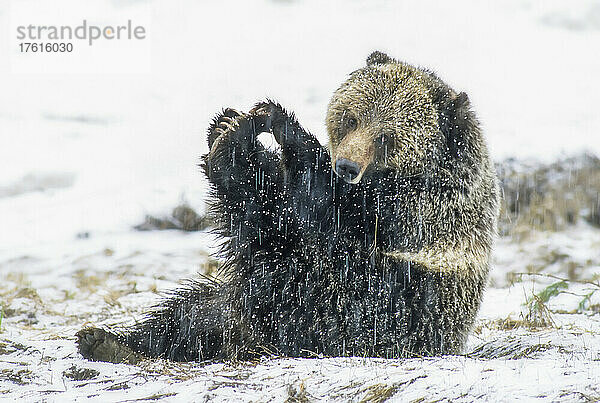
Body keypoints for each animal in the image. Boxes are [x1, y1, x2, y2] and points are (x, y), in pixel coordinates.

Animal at [77, 49, 500, 362]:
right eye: (351, 117)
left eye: (387, 137)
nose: (346, 166)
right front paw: (232, 122)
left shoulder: (417, 213)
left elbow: (324, 209)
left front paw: (275, 123)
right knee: (191, 311)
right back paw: (106, 340)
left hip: (376, 304)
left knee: (277, 272)